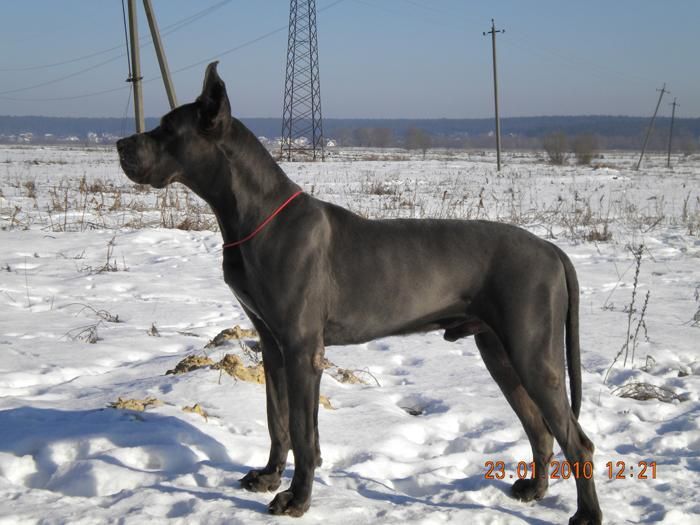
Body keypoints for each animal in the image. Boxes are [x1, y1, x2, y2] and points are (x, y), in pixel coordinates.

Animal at [117, 62, 602, 524]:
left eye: (166, 128)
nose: (121, 144)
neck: (253, 215)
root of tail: (554, 250)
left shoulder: (302, 349)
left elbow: (304, 431)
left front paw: (296, 498)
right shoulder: (272, 345)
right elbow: (278, 421)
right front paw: (269, 477)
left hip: (532, 353)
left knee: (577, 440)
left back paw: (587, 514)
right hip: (499, 352)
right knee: (540, 428)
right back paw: (534, 490)